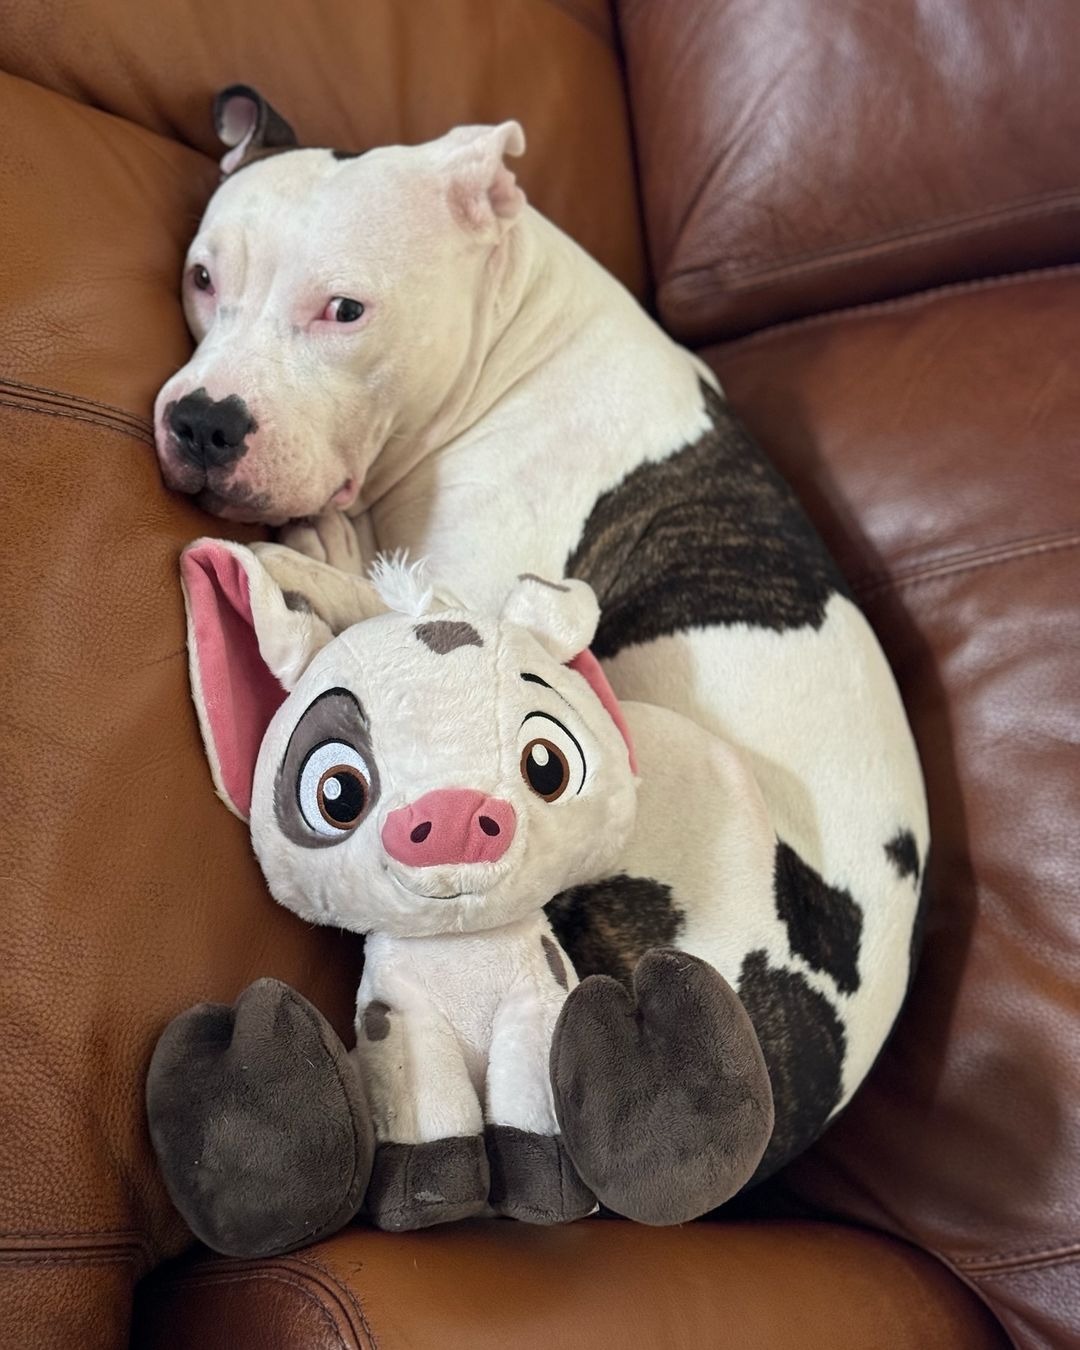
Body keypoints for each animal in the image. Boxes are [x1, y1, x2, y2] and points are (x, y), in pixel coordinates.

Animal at [147, 84, 934, 1242]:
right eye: (204, 279)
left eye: (344, 311)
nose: (203, 421)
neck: (514, 321)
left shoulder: (469, 597)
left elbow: (375, 598)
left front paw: (316, 559)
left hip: (673, 755)